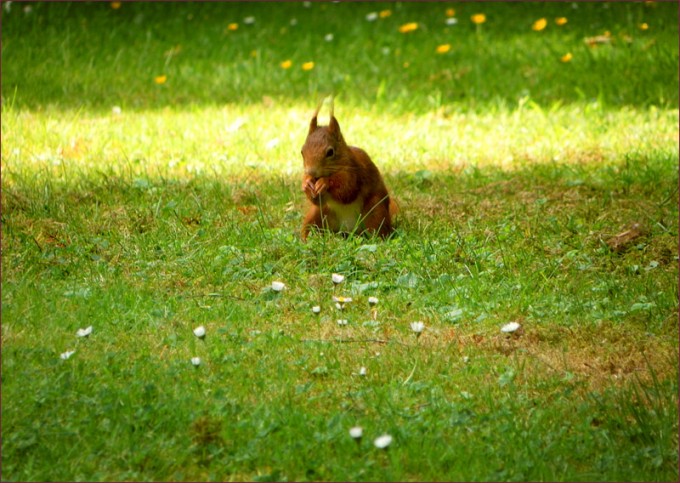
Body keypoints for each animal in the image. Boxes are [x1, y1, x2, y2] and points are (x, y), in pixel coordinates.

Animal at [300, 100, 397, 241]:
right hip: (317, 215)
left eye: (330, 152)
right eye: (302, 151)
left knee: (377, 228)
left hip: (375, 211)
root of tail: (348, 231)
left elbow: (347, 191)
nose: (311, 172)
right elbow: (316, 200)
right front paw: (306, 183)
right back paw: (307, 239)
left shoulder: (355, 172)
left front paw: (325, 182)